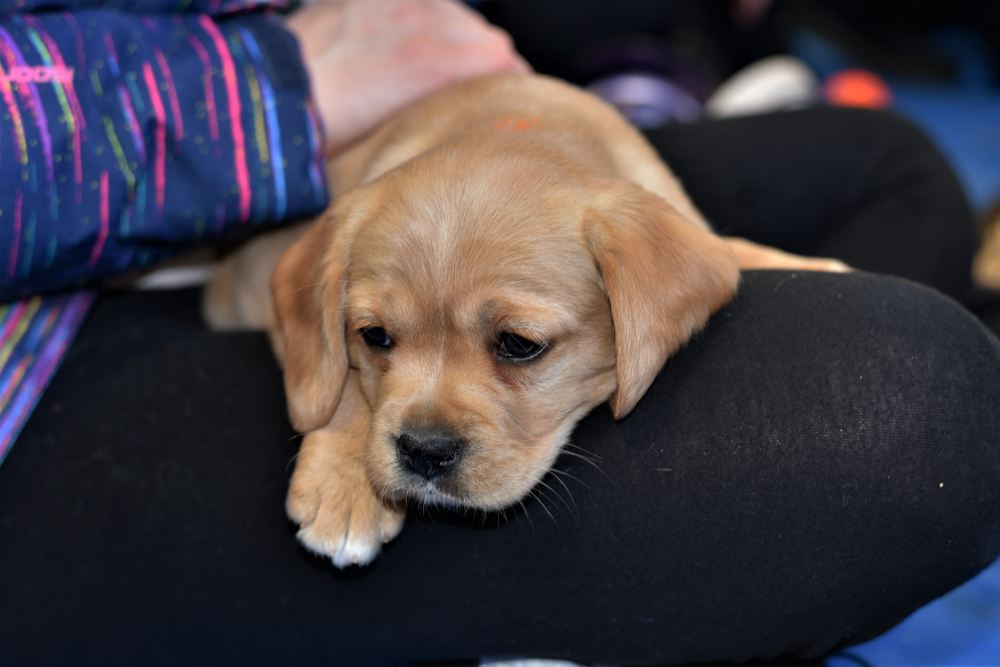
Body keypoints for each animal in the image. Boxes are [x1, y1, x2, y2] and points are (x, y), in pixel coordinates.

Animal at [203, 75, 844, 572]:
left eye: (518, 344)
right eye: (375, 337)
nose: (424, 452)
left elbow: (729, 252)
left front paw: (813, 265)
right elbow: (334, 383)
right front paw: (344, 484)